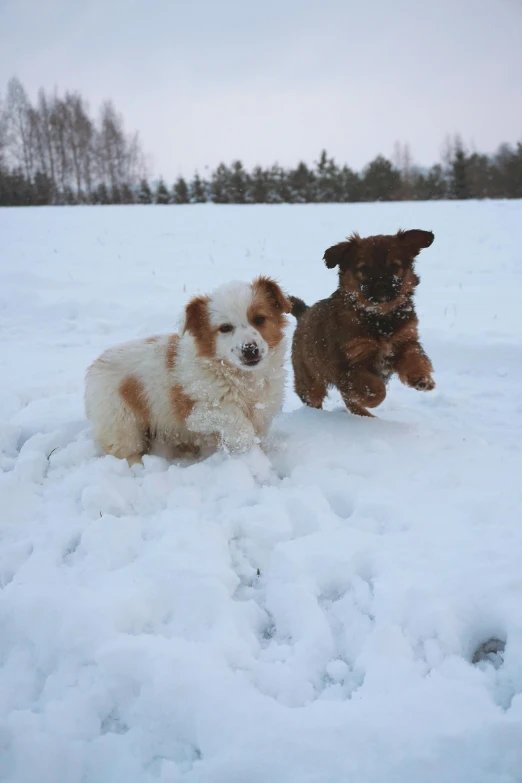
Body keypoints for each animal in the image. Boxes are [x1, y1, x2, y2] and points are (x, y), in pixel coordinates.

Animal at [84, 278, 290, 466]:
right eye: (225, 328)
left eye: (259, 319)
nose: (249, 349)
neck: (242, 377)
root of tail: (94, 365)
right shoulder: (200, 412)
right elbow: (237, 422)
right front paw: (252, 455)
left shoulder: (263, 411)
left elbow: (257, 430)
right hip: (121, 423)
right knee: (125, 451)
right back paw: (140, 466)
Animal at [290, 230, 432, 420]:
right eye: (364, 269)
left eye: (394, 267)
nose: (382, 285)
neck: (379, 317)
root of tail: (303, 313)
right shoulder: (350, 364)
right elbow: (376, 388)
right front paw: (371, 399)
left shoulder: (405, 341)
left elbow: (415, 357)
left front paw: (421, 378)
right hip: (309, 379)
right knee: (318, 397)